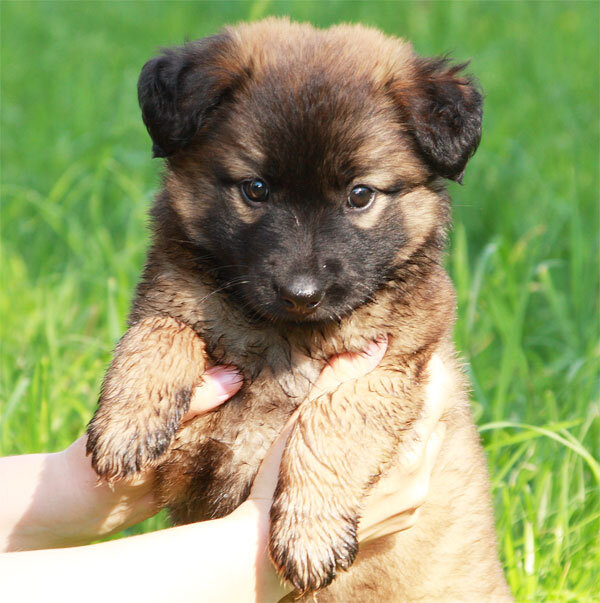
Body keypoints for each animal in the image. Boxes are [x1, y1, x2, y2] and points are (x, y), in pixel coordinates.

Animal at [86, 17, 510, 600]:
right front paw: (126, 421)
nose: (301, 293)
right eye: (256, 188)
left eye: (360, 195)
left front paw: (311, 532)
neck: (282, 336)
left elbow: (332, 413)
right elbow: (161, 329)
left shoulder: (392, 364)